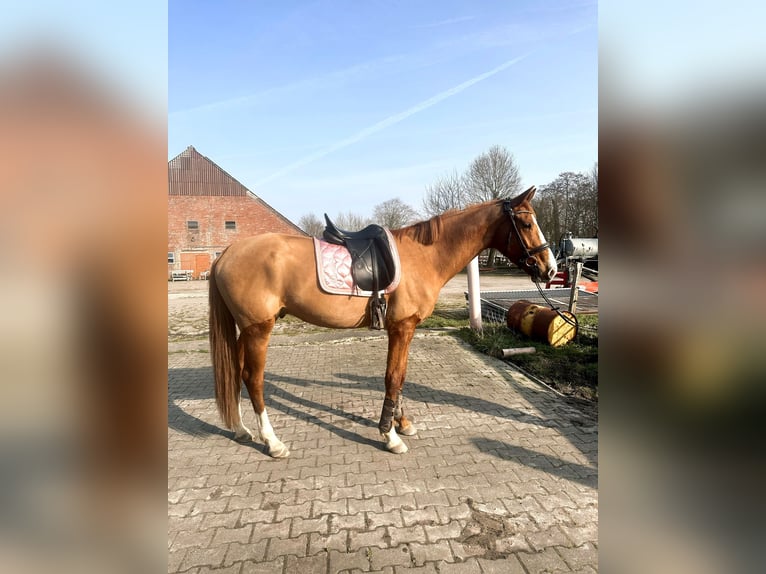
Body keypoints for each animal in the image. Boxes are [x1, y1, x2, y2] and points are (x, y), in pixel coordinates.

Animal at [208, 186, 557, 457]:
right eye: (526, 222)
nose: (550, 269)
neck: (423, 256)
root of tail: (226, 253)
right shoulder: (401, 328)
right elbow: (393, 378)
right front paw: (390, 436)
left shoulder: (405, 330)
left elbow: (401, 376)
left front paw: (402, 424)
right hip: (259, 330)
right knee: (253, 379)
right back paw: (273, 442)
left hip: (246, 331)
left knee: (236, 373)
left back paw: (241, 430)